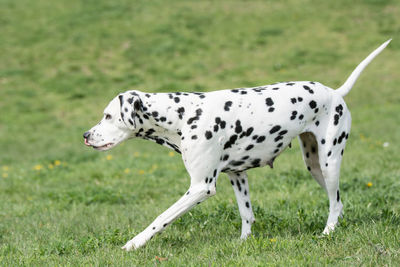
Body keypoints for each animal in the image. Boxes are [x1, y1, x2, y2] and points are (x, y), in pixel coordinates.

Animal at [82, 39, 390, 251]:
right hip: (314, 165)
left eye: (107, 115)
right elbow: (247, 215)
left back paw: (327, 233)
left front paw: (133, 244)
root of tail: (335, 92)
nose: (85, 135)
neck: (182, 115)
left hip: (329, 163)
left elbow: (161, 218)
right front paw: (244, 243)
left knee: (335, 204)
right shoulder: (237, 175)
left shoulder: (200, 187)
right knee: (337, 201)